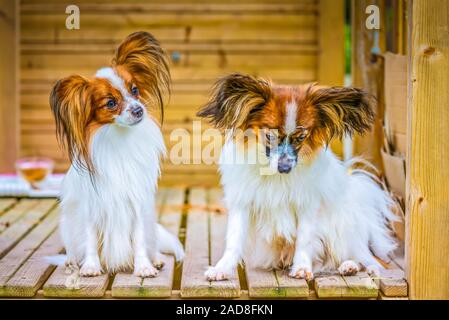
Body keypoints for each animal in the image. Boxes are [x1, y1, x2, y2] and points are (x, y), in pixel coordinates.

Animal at [51, 31, 186, 278]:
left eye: (134, 90)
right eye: (111, 103)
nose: (138, 110)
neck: (119, 138)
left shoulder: (137, 203)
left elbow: (140, 239)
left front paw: (144, 267)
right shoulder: (91, 206)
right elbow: (90, 238)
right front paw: (90, 266)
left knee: (151, 242)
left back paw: (157, 259)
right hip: (67, 225)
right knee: (73, 247)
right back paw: (72, 261)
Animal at [199, 72, 396, 280]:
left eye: (301, 138)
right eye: (270, 136)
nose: (285, 168)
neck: (274, 175)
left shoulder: (307, 205)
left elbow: (304, 238)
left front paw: (301, 267)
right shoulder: (243, 203)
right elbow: (234, 240)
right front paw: (222, 269)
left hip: (343, 230)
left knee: (367, 258)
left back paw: (353, 266)